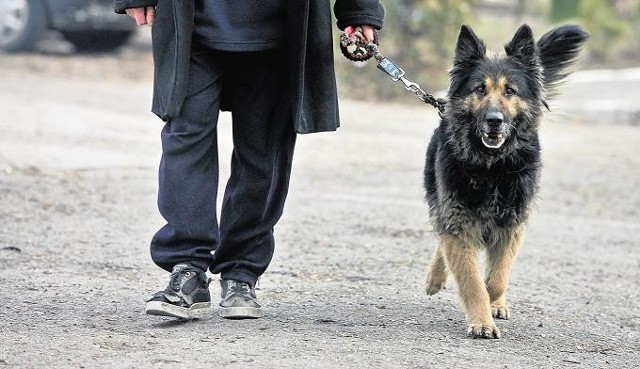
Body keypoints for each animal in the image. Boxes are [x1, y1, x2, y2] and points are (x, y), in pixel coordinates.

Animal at [422, 23, 588, 340]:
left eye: (510, 91)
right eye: (480, 89)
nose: (494, 120)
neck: (492, 167)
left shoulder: (512, 223)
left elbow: (497, 278)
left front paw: (493, 300)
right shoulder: (459, 220)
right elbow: (471, 278)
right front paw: (482, 320)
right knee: (442, 236)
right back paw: (436, 277)